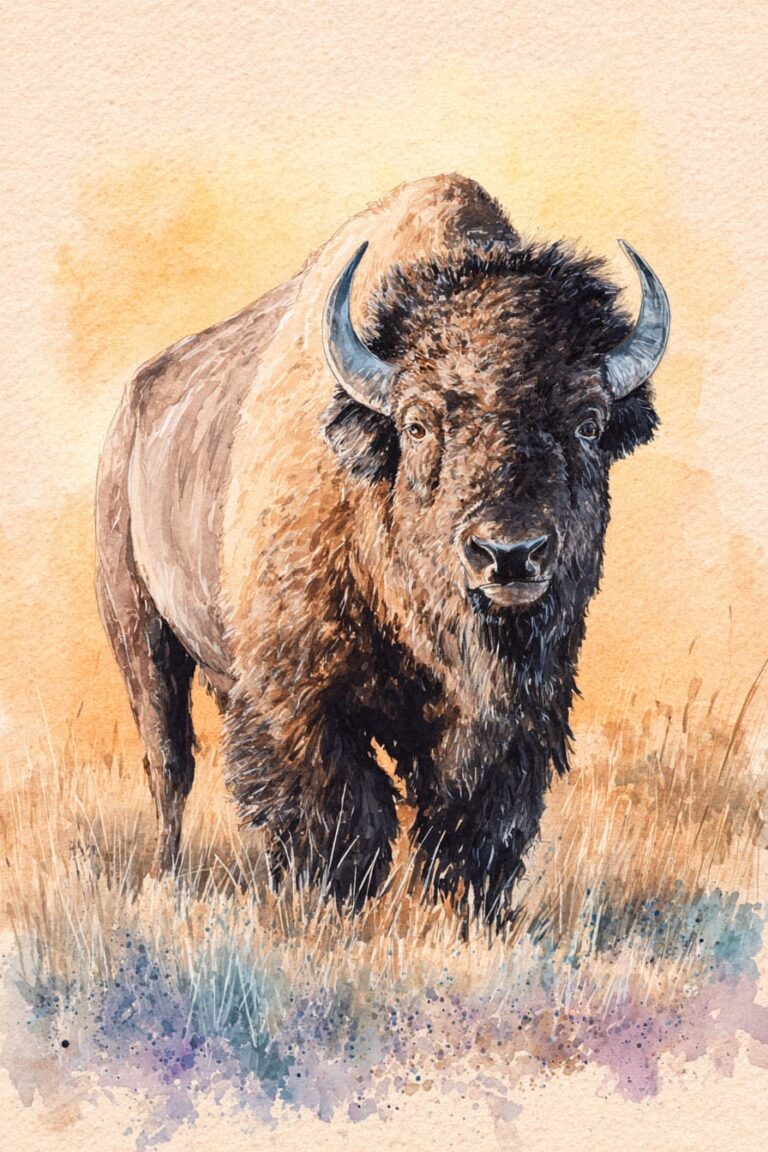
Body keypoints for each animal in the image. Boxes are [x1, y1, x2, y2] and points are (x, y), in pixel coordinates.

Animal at [96, 174, 669, 925]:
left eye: (589, 422)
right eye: (418, 424)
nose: (509, 554)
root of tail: (130, 411)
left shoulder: (513, 716)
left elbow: (474, 825)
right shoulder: (301, 703)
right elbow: (341, 815)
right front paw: (331, 909)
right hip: (139, 632)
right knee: (169, 766)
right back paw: (168, 881)